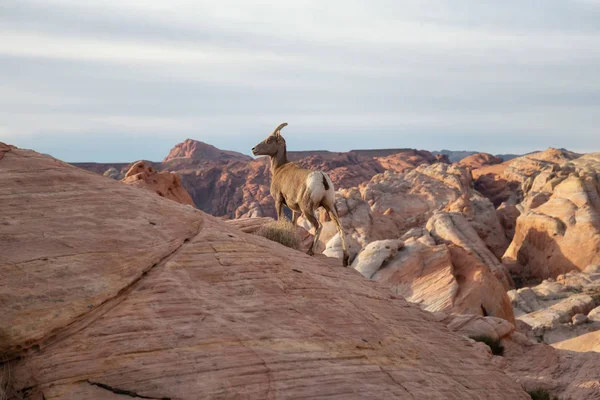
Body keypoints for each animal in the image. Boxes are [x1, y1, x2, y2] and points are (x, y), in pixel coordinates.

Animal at [251, 122, 350, 266]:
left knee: (318, 225)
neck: (280, 168)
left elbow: (280, 219)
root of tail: (322, 178)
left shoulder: (278, 201)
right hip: (330, 206)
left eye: (269, 140)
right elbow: (293, 224)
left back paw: (310, 251)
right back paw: (345, 260)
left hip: (307, 208)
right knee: (340, 228)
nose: (253, 149)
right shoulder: (295, 210)